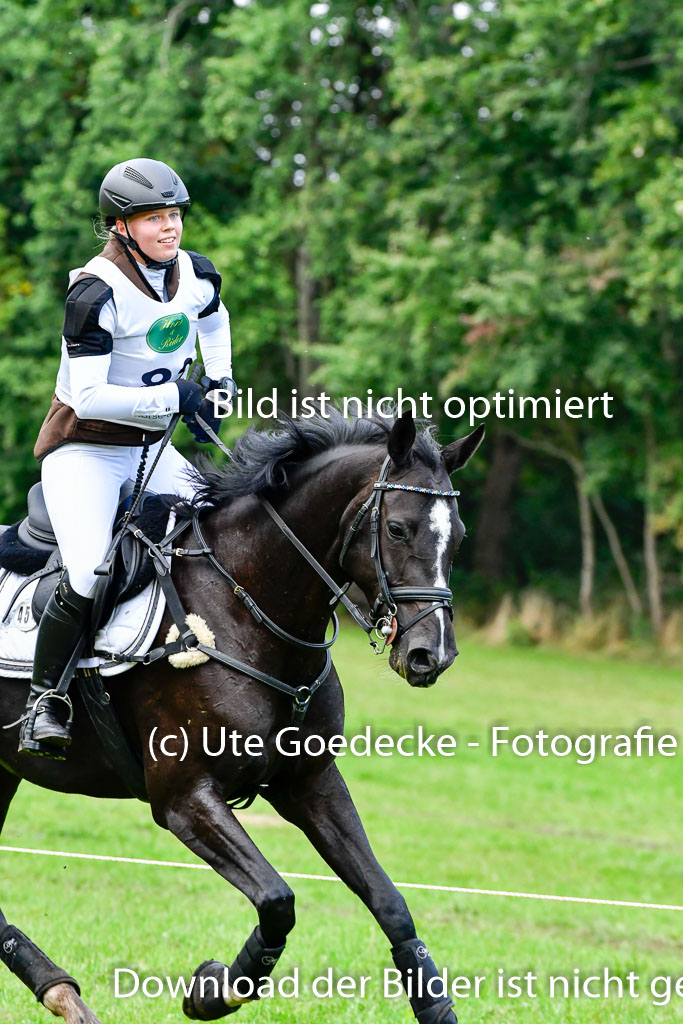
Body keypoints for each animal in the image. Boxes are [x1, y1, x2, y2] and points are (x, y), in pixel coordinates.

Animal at [0, 409, 484, 1024]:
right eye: (397, 529)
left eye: (458, 536)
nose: (431, 655)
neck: (246, 608)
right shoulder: (185, 800)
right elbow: (278, 900)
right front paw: (212, 988)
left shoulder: (310, 782)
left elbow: (389, 901)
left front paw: (435, 1005)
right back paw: (61, 990)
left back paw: (60, 992)